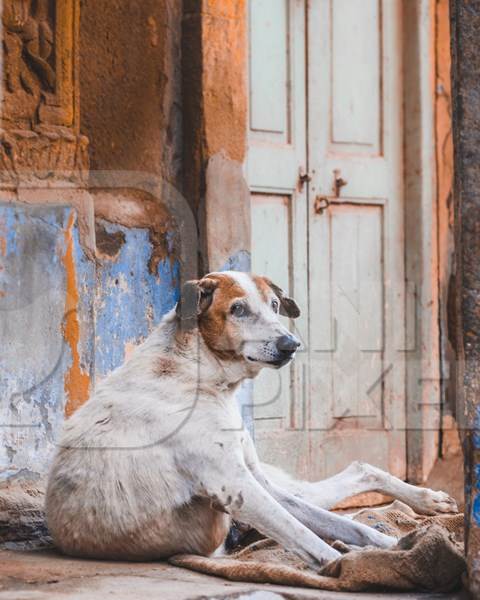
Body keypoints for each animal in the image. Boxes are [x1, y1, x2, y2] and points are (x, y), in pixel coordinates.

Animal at [46, 272, 458, 568]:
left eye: (274, 304)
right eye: (238, 309)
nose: (291, 344)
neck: (199, 373)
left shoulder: (255, 483)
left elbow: (350, 526)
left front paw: (398, 546)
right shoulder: (238, 488)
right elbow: (309, 537)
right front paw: (350, 562)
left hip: (277, 486)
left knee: (357, 475)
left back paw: (426, 505)